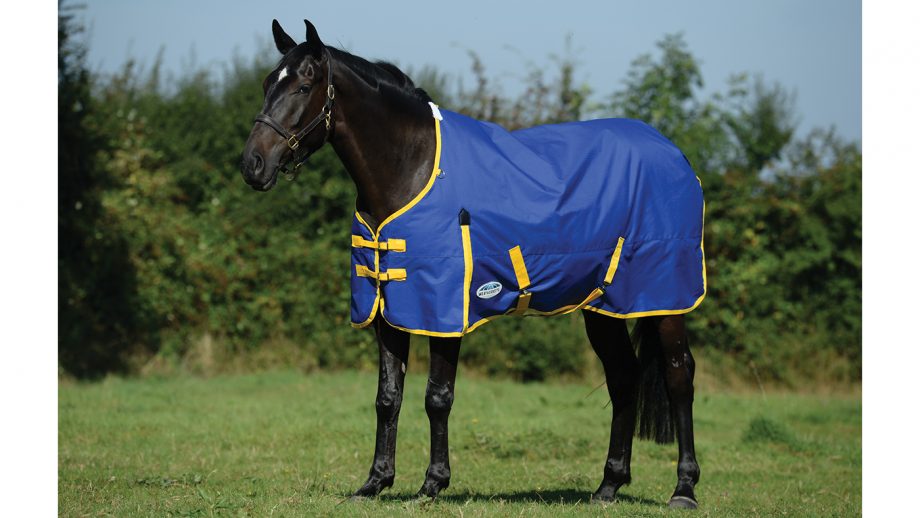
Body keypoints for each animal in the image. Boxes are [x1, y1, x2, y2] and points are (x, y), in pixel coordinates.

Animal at [240, 19, 703, 509]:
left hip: (664, 297)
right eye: (268, 84)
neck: (411, 167)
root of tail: (675, 155)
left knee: (679, 376)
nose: (252, 164)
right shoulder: (389, 307)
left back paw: (684, 489)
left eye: (303, 86)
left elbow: (437, 397)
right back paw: (608, 486)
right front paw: (374, 482)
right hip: (604, 306)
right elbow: (388, 397)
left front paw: (432, 484)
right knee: (624, 377)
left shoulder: (443, 309)